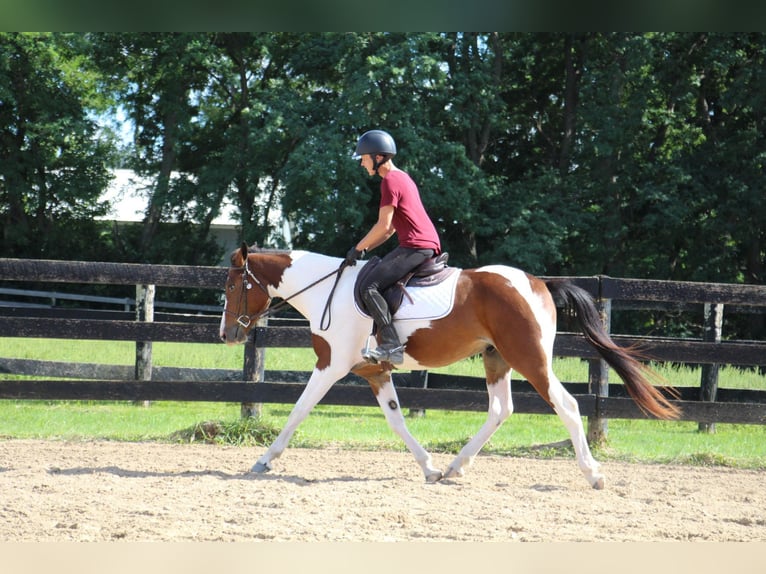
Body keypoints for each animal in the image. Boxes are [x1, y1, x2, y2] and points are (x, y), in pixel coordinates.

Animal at [219, 243, 680, 490]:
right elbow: (397, 421)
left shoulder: (330, 365)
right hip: (497, 358)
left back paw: (593, 474)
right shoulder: (375, 372)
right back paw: (457, 466)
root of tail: (538, 283)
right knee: (500, 409)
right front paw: (430, 467)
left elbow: (298, 410)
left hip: (530, 358)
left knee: (565, 406)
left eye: (232, 285)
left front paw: (263, 461)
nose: (227, 334)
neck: (325, 289)